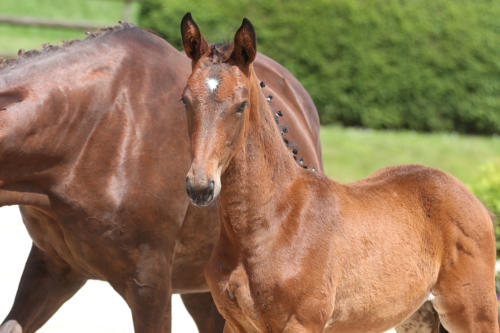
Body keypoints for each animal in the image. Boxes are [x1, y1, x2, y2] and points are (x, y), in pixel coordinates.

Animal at [179, 13, 496, 332]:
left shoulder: (302, 323)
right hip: (418, 315)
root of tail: (471, 197)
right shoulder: (235, 324)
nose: (200, 186)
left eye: (241, 104)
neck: (270, 221)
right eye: (185, 100)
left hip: (474, 310)